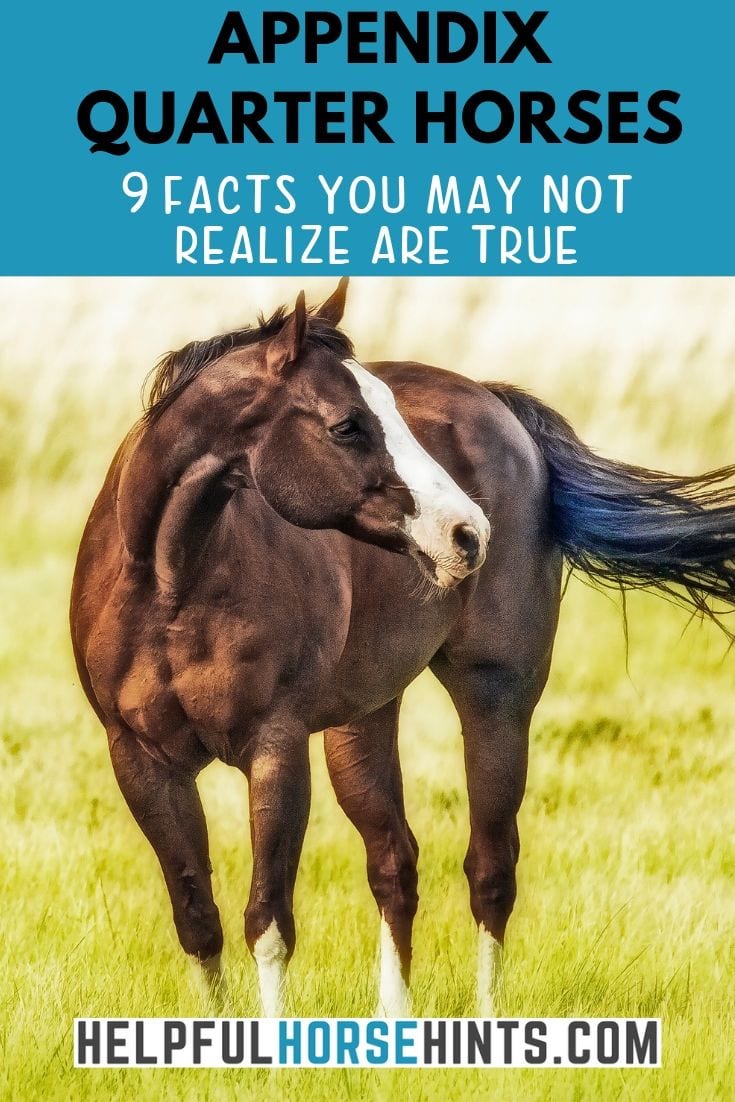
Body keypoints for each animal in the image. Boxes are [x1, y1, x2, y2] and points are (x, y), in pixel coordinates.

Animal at [70, 279, 735, 1017]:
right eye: (346, 426)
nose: (467, 533)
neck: (171, 589)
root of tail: (498, 408)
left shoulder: (274, 750)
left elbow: (267, 920)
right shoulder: (142, 760)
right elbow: (198, 918)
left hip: (496, 697)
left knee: (490, 867)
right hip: (363, 720)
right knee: (394, 860)